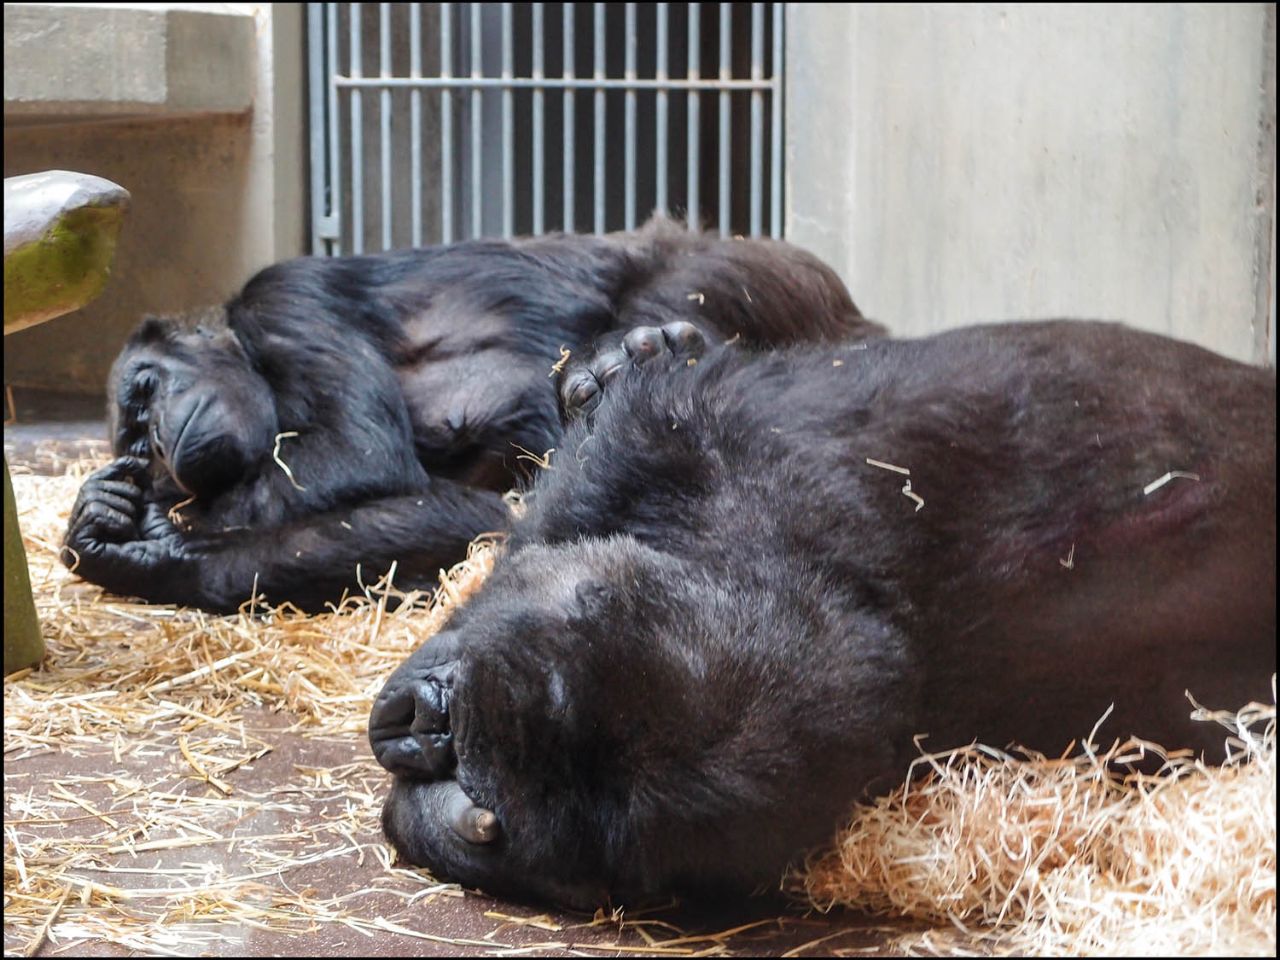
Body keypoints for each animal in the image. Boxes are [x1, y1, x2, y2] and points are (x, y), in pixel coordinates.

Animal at [64, 217, 875, 611]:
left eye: (144, 392)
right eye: (133, 438)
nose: (156, 442)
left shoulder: (284, 302)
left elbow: (356, 453)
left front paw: (168, 527)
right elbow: (464, 515)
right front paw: (134, 549)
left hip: (761, 276)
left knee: (674, 289)